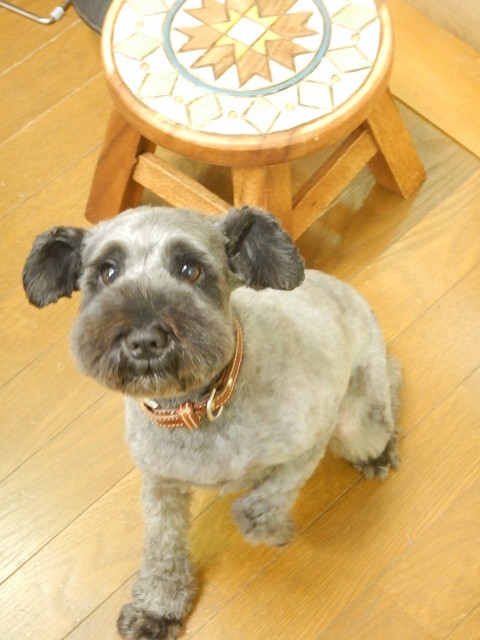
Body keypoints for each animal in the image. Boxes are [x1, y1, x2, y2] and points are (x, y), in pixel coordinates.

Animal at [23, 205, 401, 640]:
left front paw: (271, 527)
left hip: (357, 423)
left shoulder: (313, 439)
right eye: (107, 272)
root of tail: (345, 288)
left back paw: (383, 448)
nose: (145, 339)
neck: (200, 408)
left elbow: (268, 497)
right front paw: (157, 609)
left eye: (190, 269)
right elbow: (162, 547)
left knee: (390, 384)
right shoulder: (159, 484)